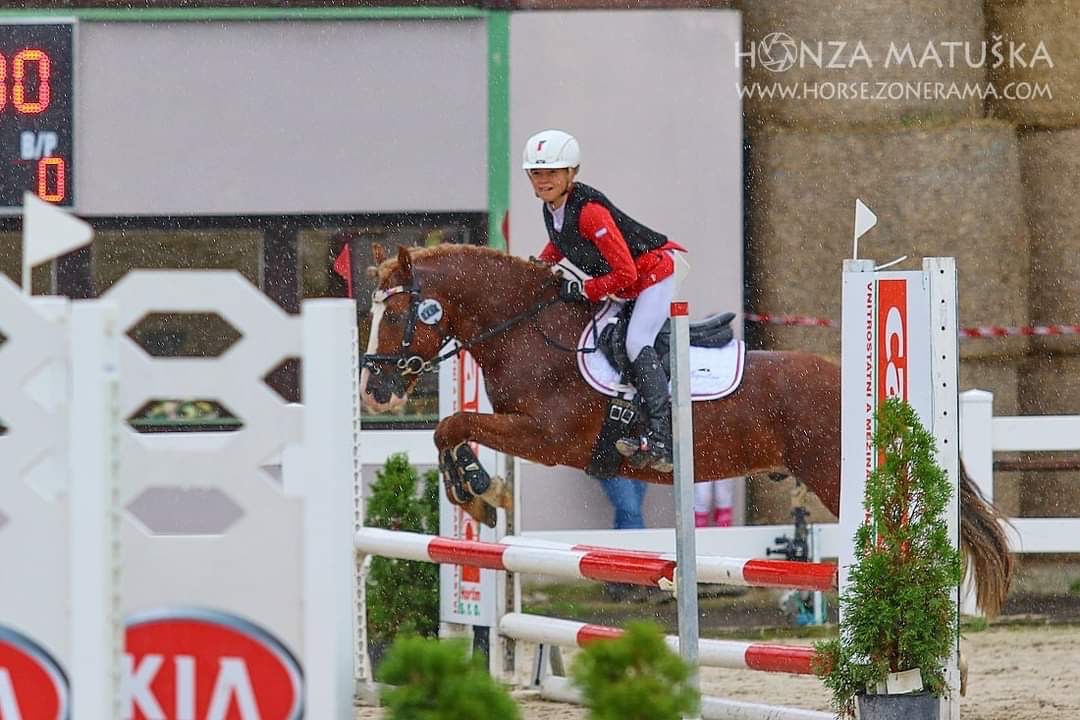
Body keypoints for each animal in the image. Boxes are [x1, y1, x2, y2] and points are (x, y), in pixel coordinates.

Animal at [360, 244, 1013, 616]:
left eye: (397, 313)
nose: (375, 391)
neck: (528, 330)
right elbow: (448, 430)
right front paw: (476, 494)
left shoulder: (546, 437)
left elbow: (453, 422)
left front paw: (478, 489)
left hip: (835, 475)